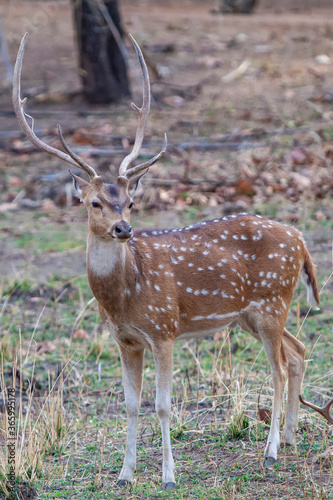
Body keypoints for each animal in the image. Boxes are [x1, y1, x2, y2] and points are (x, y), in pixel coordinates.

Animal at [11, 33, 330, 490]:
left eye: (130, 201)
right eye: (94, 202)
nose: (123, 228)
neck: (124, 296)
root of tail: (301, 241)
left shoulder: (163, 330)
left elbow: (161, 405)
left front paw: (167, 476)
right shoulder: (125, 340)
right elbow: (129, 404)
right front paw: (125, 474)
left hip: (273, 300)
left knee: (280, 368)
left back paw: (270, 451)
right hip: (251, 314)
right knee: (300, 350)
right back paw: (288, 439)